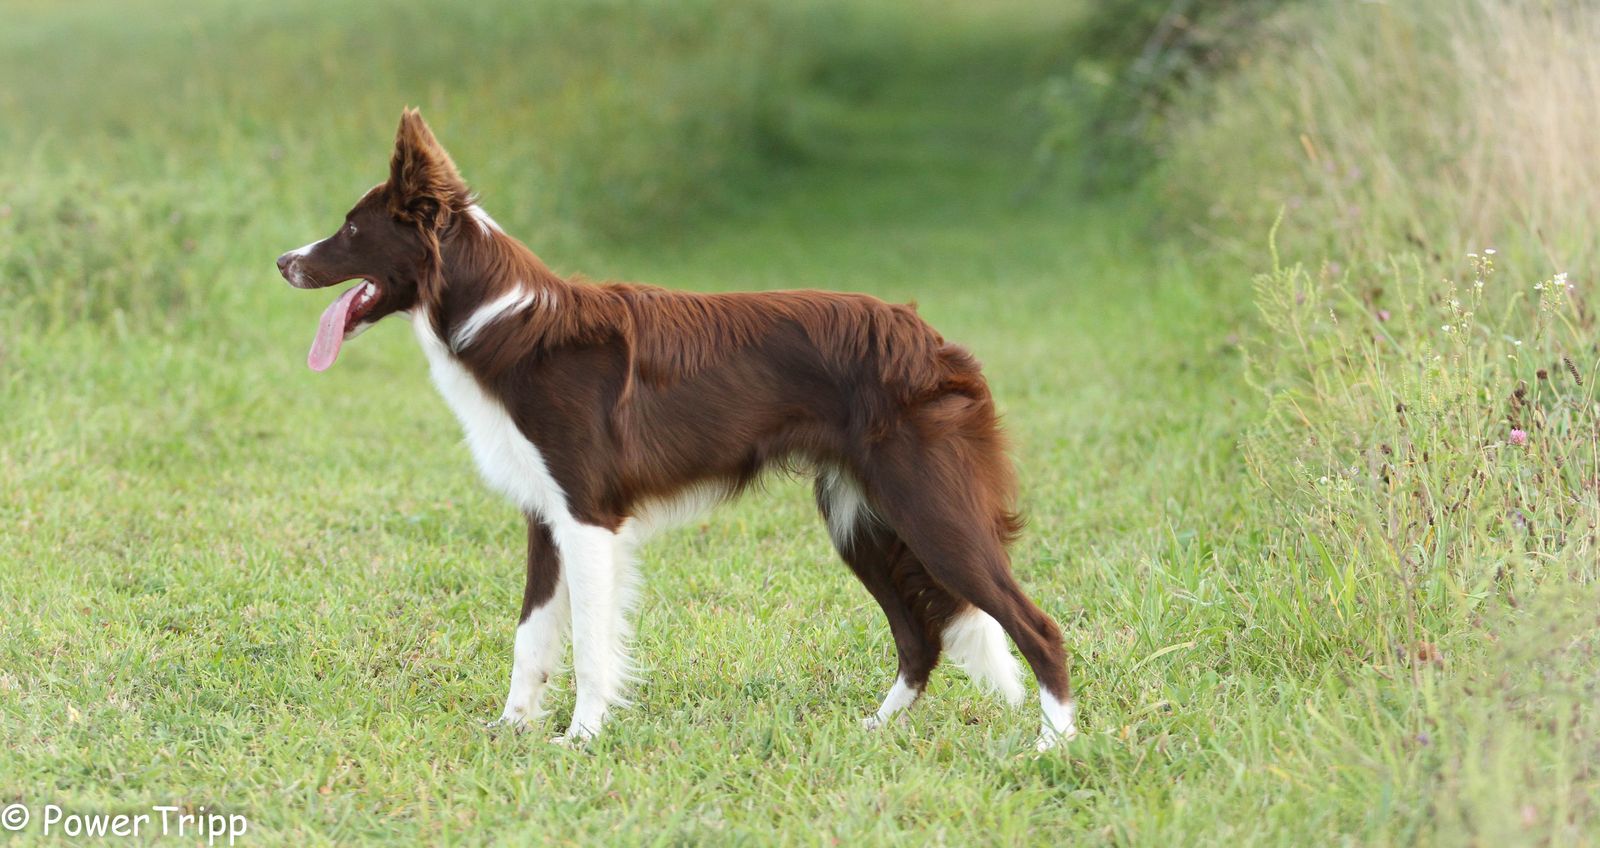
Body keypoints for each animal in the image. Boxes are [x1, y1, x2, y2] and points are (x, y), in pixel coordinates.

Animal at [276, 109, 1077, 750]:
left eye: (351, 229)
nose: (283, 261)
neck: (498, 318)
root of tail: (936, 342)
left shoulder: (590, 517)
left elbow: (590, 646)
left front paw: (581, 739)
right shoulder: (546, 517)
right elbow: (531, 637)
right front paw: (510, 729)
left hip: (930, 513)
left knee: (1036, 626)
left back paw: (1053, 747)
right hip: (862, 521)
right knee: (919, 638)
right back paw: (875, 731)